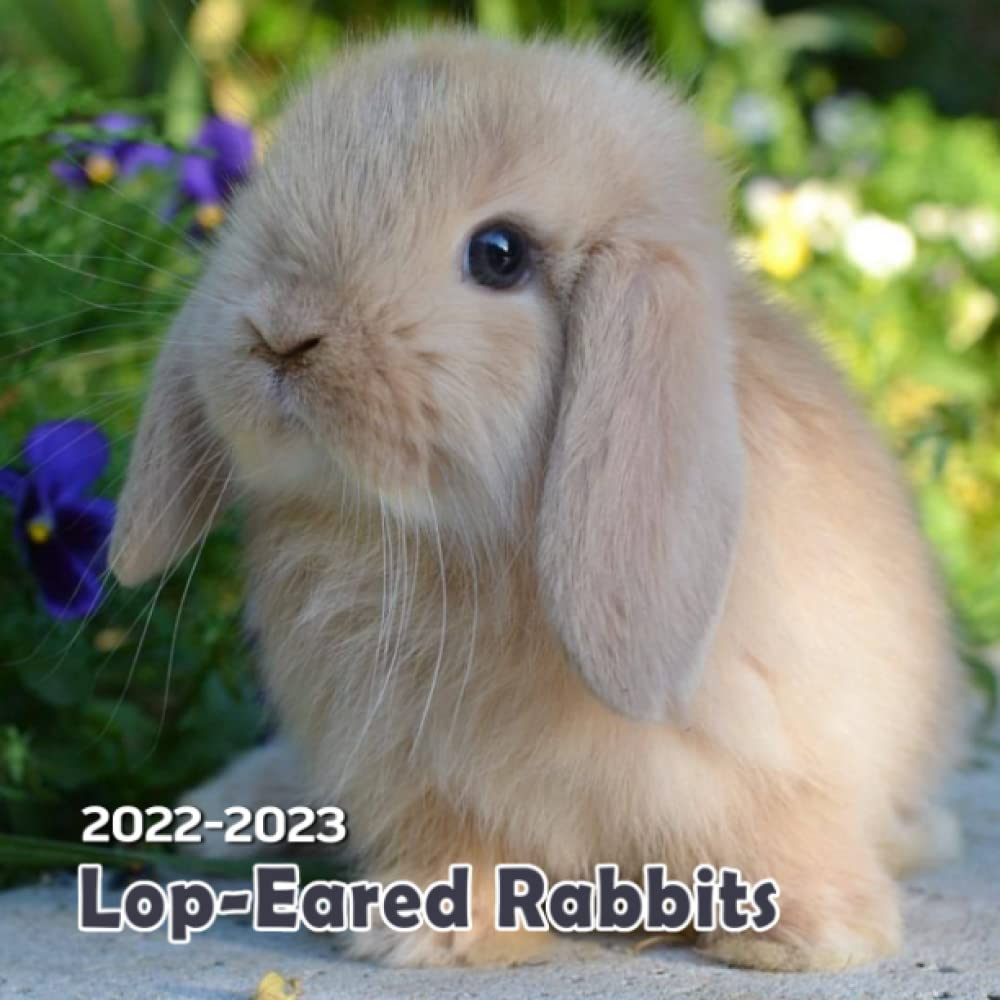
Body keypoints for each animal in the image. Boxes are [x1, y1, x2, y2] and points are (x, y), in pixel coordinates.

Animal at [110, 30, 964, 971]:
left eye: (499, 254)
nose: (280, 334)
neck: (457, 547)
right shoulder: (419, 774)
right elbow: (460, 847)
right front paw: (428, 932)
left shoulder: (780, 765)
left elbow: (782, 834)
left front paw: (818, 936)